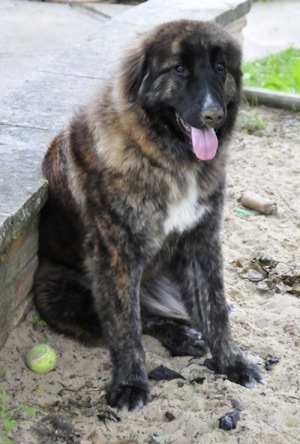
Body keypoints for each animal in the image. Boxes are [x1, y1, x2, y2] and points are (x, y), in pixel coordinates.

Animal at [34, 19, 264, 412]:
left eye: (221, 67)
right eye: (179, 69)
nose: (213, 115)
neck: (169, 161)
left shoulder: (202, 242)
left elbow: (215, 310)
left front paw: (233, 362)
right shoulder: (116, 255)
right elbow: (126, 327)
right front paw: (130, 384)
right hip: (54, 288)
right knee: (141, 316)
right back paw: (180, 335)